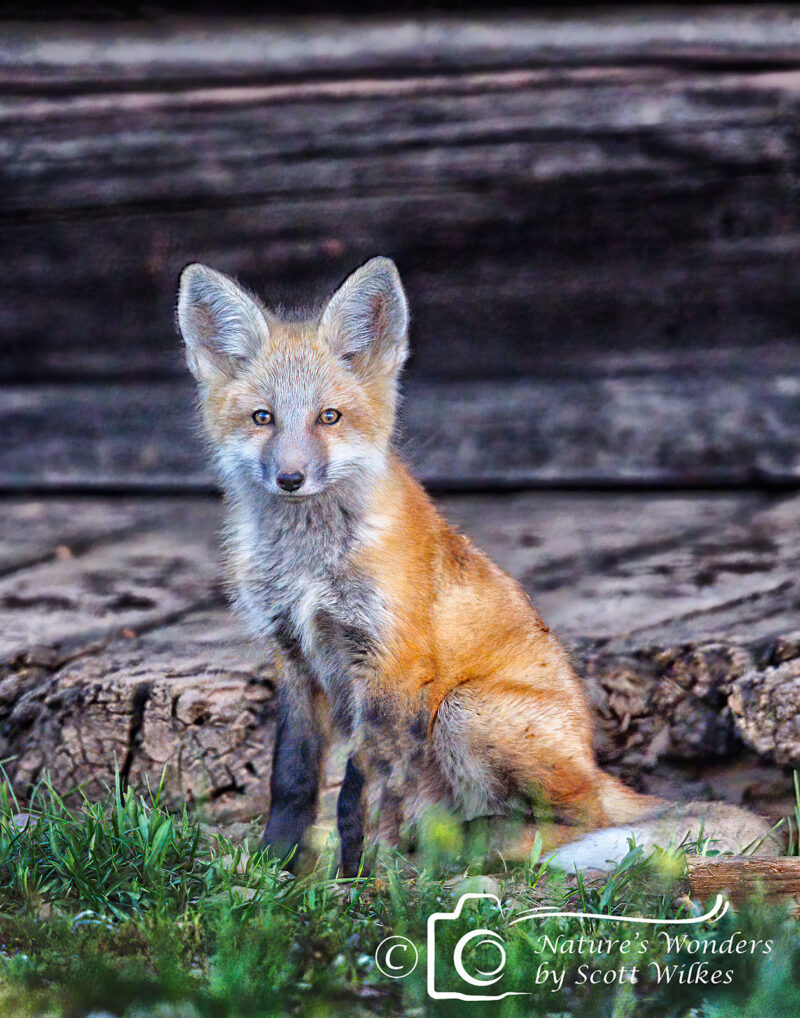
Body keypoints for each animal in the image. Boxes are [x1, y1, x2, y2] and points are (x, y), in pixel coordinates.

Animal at [176, 256, 777, 875]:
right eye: (263, 418)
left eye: (329, 417)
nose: (290, 479)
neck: (308, 567)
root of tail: (595, 765)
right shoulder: (294, 658)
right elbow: (291, 779)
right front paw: (276, 868)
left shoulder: (390, 665)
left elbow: (356, 793)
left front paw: (354, 877)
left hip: (465, 710)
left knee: (576, 823)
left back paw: (473, 849)